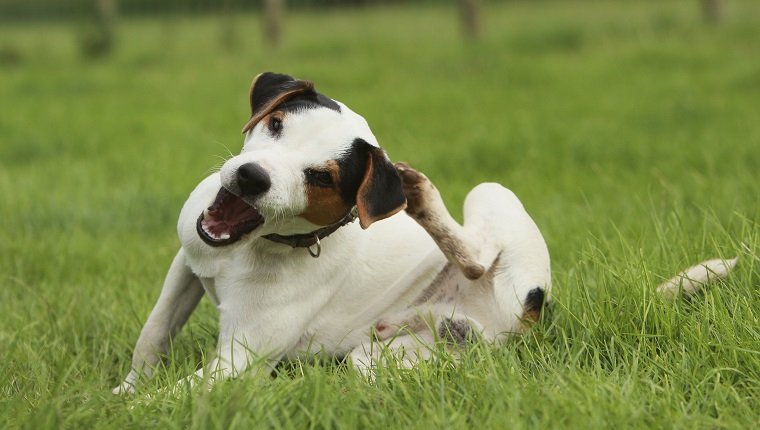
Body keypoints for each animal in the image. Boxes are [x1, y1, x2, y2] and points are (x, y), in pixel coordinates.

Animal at [113, 71, 736, 394]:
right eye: (276, 123)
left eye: (321, 176)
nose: (250, 177)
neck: (251, 248)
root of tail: (541, 315)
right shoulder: (187, 262)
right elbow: (153, 334)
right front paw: (130, 384)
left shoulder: (237, 361)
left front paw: (126, 405)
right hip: (382, 359)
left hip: (491, 198)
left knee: (476, 254)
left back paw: (424, 199)